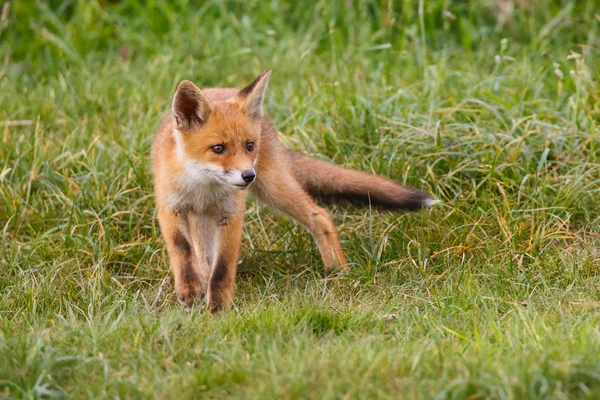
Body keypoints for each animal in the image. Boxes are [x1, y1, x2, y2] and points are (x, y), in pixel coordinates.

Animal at [152, 70, 438, 310]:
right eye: (218, 148)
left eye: (249, 145)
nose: (248, 176)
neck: (203, 188)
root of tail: (222, 88)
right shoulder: (171, 209)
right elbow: (182, 251)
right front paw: (191, 290)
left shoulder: (231, 214)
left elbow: (222, 267)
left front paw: (219, 308)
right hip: (204, 218)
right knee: (201, 255)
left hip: (273, 187)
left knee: (320, 215)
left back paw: (338, 270)